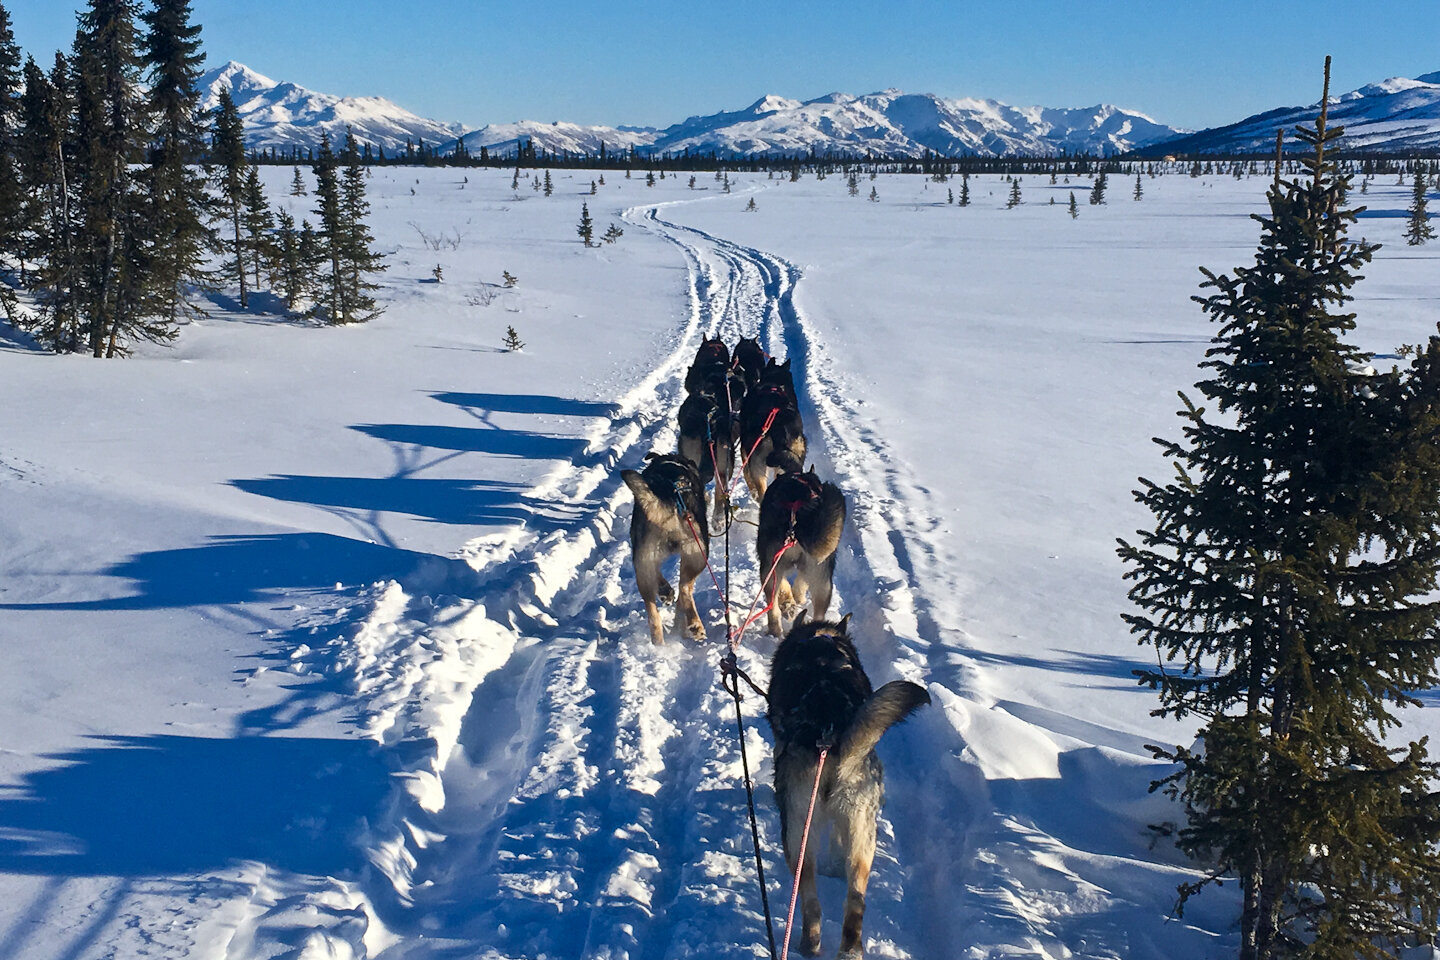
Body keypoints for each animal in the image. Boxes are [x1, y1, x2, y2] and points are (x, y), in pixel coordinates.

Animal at [619, 451, 708, 644]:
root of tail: (671, 501)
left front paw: (665, 592)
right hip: (699, 554)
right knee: (684, 590)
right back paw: (694, 625)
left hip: (644, 563)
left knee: (653, 615)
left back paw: (659, 643)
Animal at [754, 463, 840, 639]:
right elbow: (800, 582)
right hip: (823, 582)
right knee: (818, 613)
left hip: (770, 569)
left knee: (773, 607)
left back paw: (775, 629)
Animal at [771, 616, 927, 960]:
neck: (820, 639)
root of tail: (830, 737)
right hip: (863, 836)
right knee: (855, 902)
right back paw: (850, 949)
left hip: (798, 833)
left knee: (810, 901)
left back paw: (809, 944)